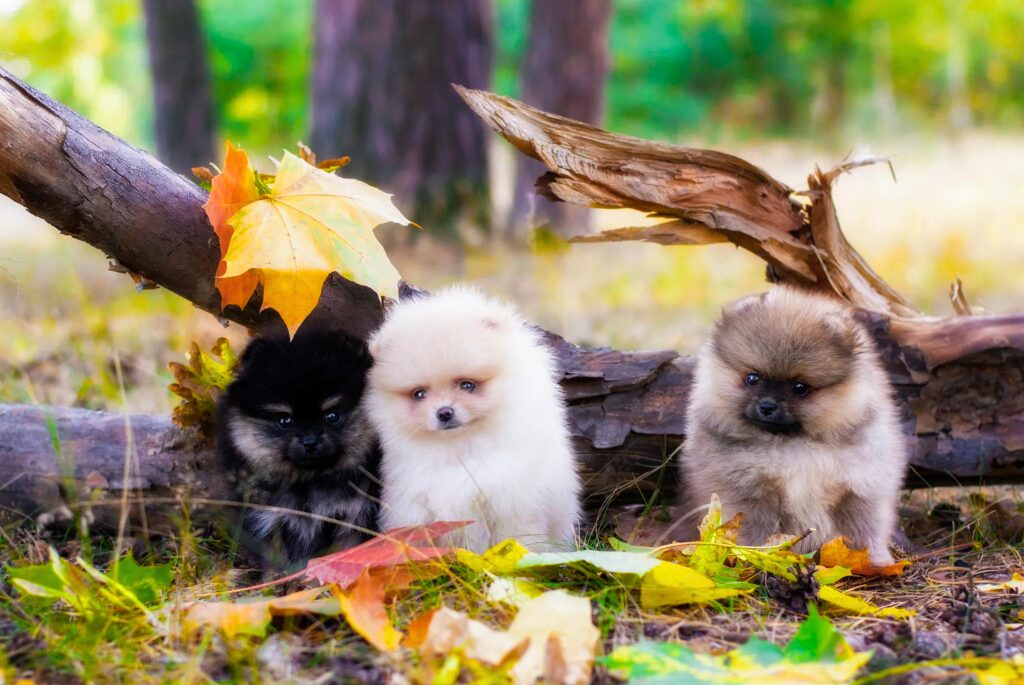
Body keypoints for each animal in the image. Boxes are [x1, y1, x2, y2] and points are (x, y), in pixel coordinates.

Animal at [216, 327, 380, 565]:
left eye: (332, 416)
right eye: (285, 421)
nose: (309, 441)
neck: (309, 481)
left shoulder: (354, 515)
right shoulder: (270, 520)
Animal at [364, 286, 581, 552]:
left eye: (468, 385)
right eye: (419, 394)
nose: (444, 412)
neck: (459, 449)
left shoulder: (510, 502)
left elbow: (517, 541)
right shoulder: (415, 505)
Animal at [679, 286, 905, 565]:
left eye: (800, 387)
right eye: (752, 378)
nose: (767, 406)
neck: (793, 445)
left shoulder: (859, 488)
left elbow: (864, 529)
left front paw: (874, 562)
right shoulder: (746, 491)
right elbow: (752, 531)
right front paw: (750, 558)